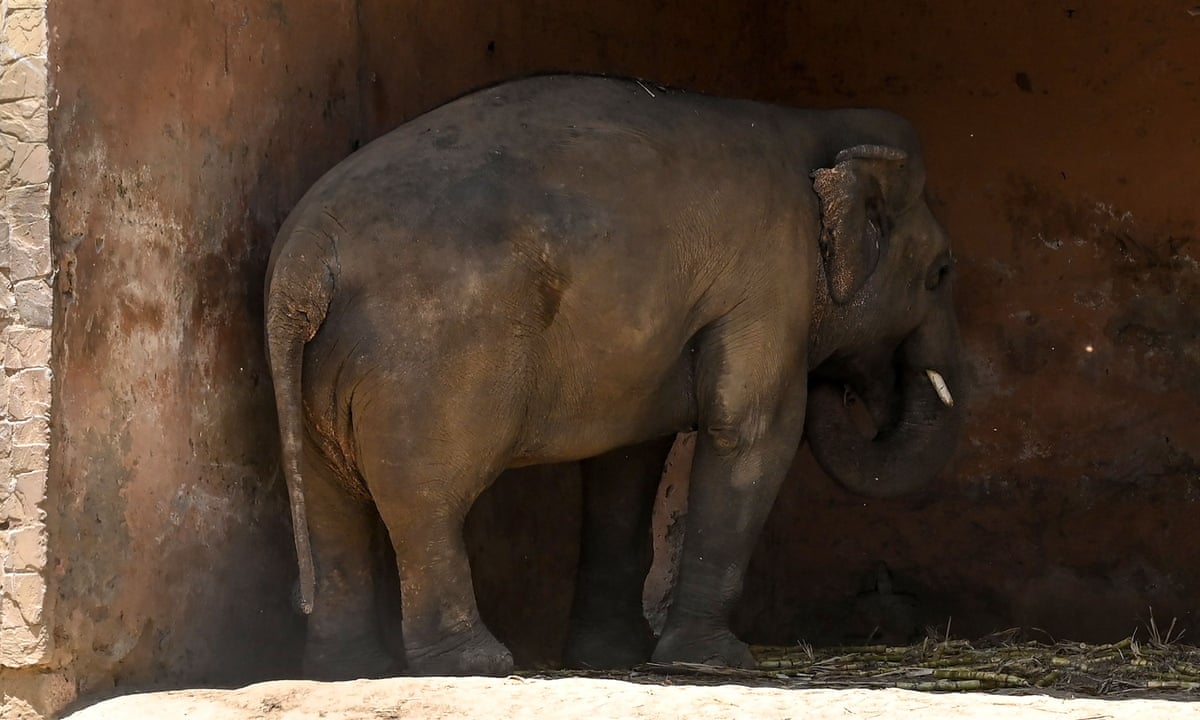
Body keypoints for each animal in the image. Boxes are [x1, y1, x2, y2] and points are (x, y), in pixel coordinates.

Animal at [264, 74, 964, 678]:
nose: (841, 386)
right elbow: (752, 427)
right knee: (425, 499)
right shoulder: (769, 279)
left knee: (331, 506)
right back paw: (477, 665)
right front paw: (712, 662)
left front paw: (615, 655)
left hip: (318, 373)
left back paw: (347, 672)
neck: (819, 132)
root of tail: (304, 256)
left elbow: (628, 461)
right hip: (425, 365)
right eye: (940, 274)